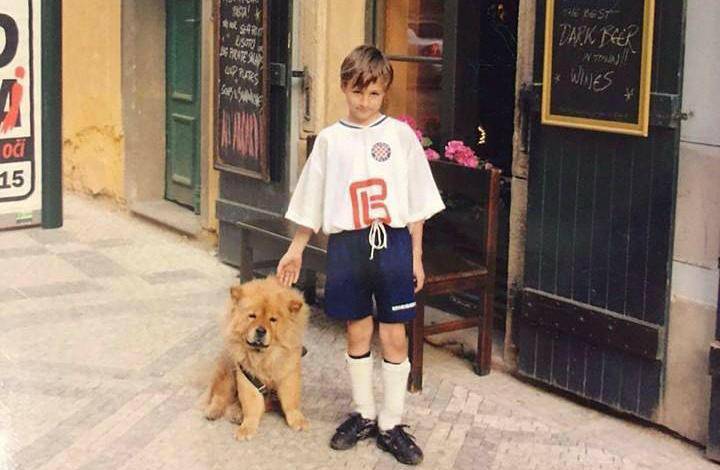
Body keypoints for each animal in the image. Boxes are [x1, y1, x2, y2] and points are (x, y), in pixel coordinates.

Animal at [205, 276, 312, 440]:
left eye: (273, 319)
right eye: (252, 316)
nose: (261, 330)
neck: (264, 358)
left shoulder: (288, 374)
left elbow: (290, 401)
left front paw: (298, 421)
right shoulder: (247, 378)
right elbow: (251, 405)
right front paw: (247, 428)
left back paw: (237, 413)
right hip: (228, 373)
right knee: (220, 394)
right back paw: (214, 411)